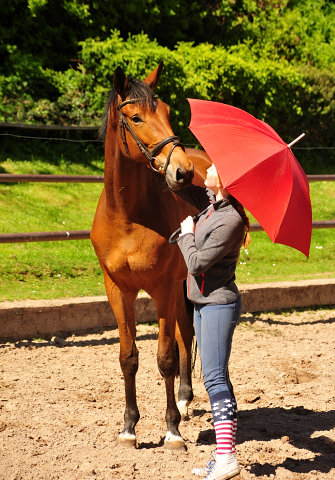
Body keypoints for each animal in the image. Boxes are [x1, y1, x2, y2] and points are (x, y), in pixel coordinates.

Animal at [91, 62, 213, 448]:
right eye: (136, 117)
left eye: (168, 113)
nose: (183, 172)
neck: (129, 217)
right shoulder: (118, 290)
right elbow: (128, 357)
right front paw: (129, 427)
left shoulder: (163, 289)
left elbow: (166, 358)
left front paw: (171, 431)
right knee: (185, 332)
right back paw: (184, 400)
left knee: (186, 335)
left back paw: (184, 404)